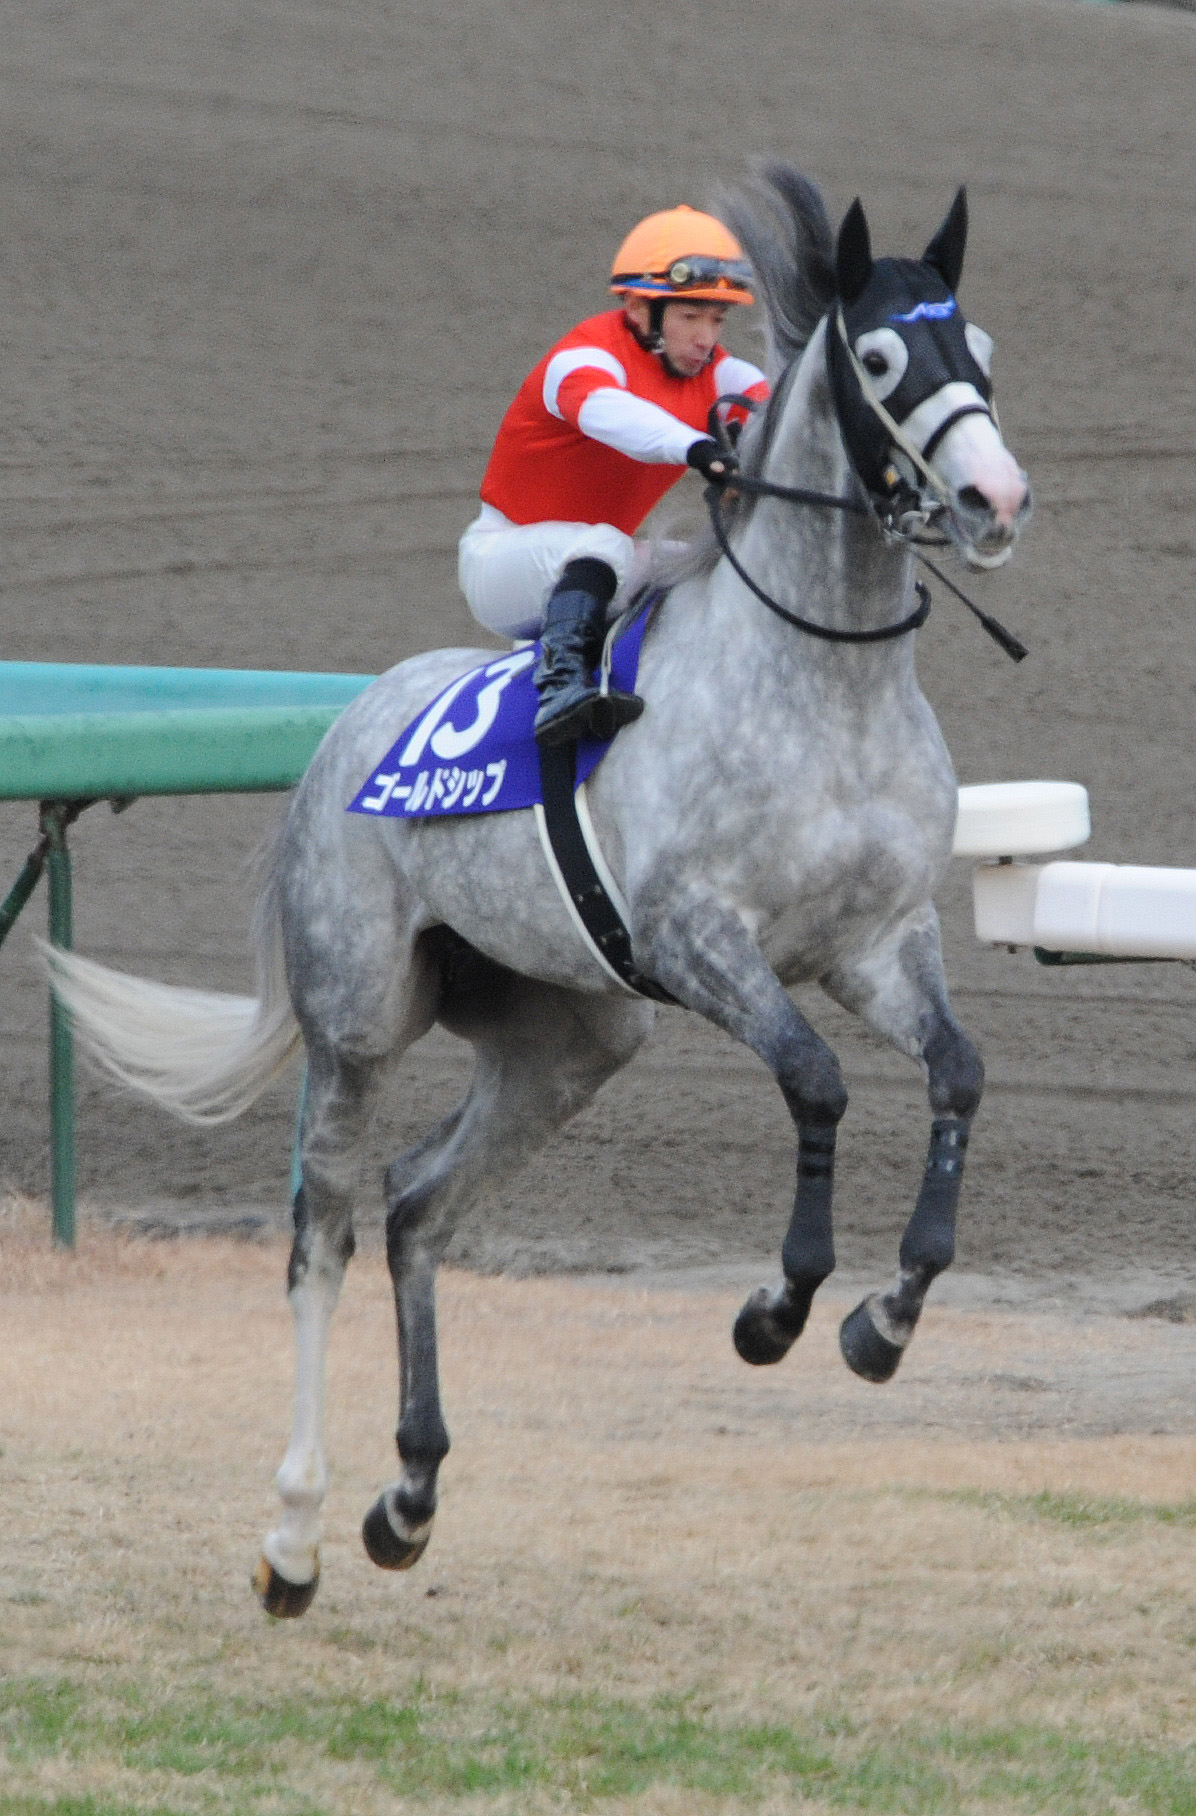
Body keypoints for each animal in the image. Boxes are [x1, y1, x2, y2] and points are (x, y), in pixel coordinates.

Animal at [44, 165, 1031, 1618]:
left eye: (988, 353)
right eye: (884, 359)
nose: (993, 497)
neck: (822, 680)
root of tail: (341, 732)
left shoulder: (878, 941)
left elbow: (956, 1074)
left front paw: (883, 1320)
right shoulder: (699, 939)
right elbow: (815, 1082)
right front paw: (779, 1308)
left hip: (571, 1039)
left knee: (416, 1206)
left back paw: (407, 1494)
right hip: (358, 1026)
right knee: (324, 1237)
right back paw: (293, 1537)